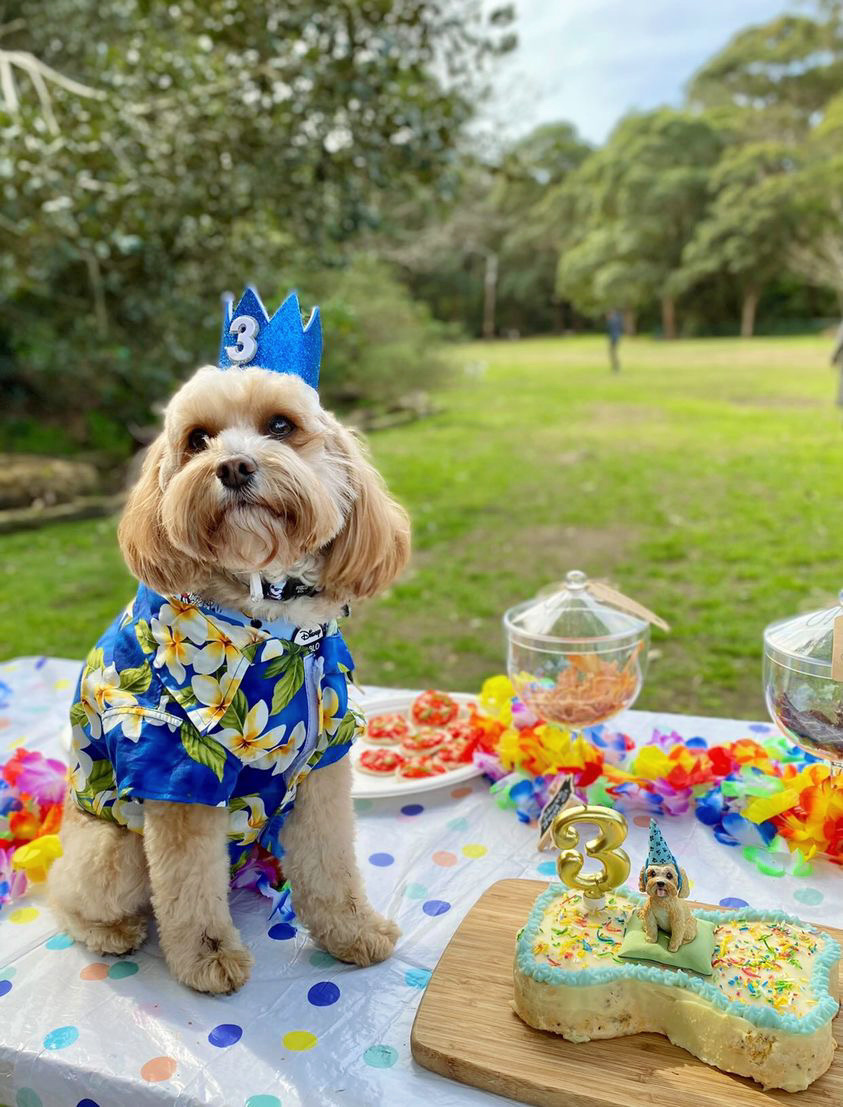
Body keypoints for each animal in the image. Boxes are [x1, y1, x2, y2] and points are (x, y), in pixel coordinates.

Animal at [49, 292, 411, 996]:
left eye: (280, 426)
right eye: (197, 439)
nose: (234, 466)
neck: (275, 625)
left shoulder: (324, 759)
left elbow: (331, 863)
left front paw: (350, 931)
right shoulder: (179, 769)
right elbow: (189, 888)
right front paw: (207, 958)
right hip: (112, 849)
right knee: (69, 893)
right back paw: (112, 931)